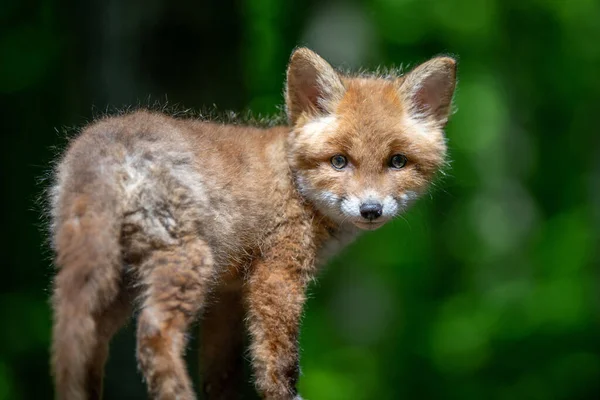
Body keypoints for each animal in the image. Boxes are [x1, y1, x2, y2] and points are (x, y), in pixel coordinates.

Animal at [49, 47, 458, 400]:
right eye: (339, 161)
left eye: (397, 161)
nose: (370, 209)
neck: (294, 182)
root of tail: (106, 142)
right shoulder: (276, 274)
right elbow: (277, 361)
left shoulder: (227, 295)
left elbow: (222, 375)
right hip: (187, 263)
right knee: (154, 336)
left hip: (112, 282)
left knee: (80, 340)